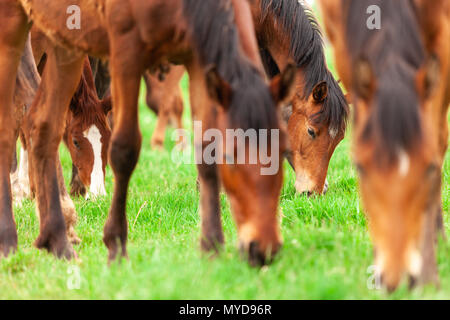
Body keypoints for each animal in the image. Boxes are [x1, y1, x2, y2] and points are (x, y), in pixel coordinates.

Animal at [0, 0, 296, 264]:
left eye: (283, 151)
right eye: (75, 142)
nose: (263, 248)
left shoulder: (197, 58)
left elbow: (206, 151)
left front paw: (211, 246)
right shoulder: (125, 52)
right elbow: (125, 150)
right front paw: (116, 244)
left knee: (42, 125)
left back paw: (59, 242)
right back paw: (9, 238)